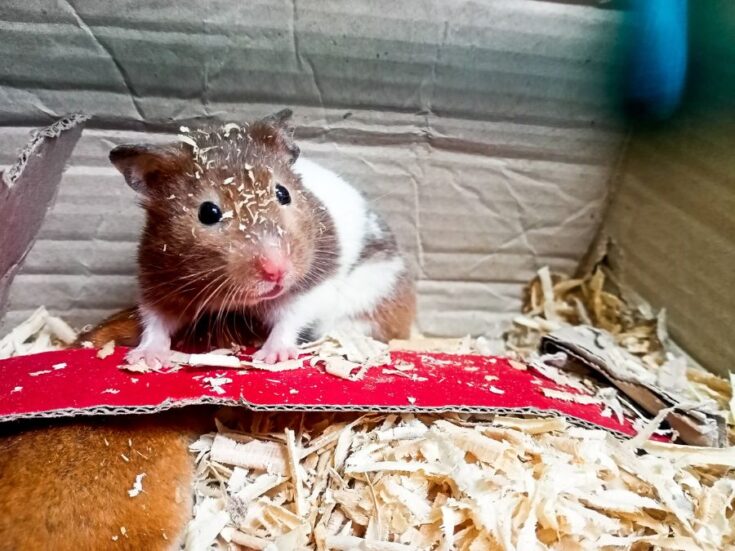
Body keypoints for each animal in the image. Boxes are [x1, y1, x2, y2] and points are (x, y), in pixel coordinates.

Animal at [110, 109, 415, 367]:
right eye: (208, 212)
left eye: (283, 193)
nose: (276, 271)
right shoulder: (158, 282)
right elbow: (156, 320)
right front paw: (145, 358)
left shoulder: (315, 282)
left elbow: (290, 318)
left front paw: (271, 357)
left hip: (373, 293)